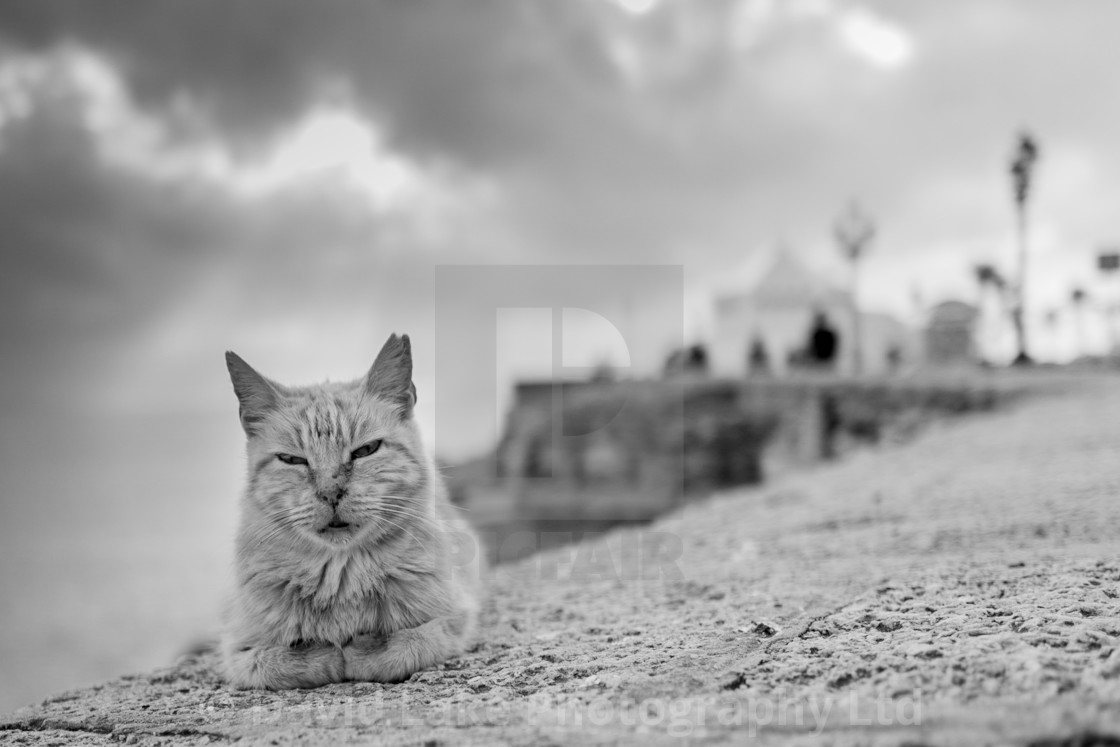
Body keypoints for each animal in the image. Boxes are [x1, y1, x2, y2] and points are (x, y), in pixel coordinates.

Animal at [218, 333, 481, 689]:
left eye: (366, 450)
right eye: (292, 459)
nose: (330, 493)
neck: (341, 575)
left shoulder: (456, 618)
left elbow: (409, 644)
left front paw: (363, 649)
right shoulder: (236, 650)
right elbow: (276, 661)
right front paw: (323, 654)